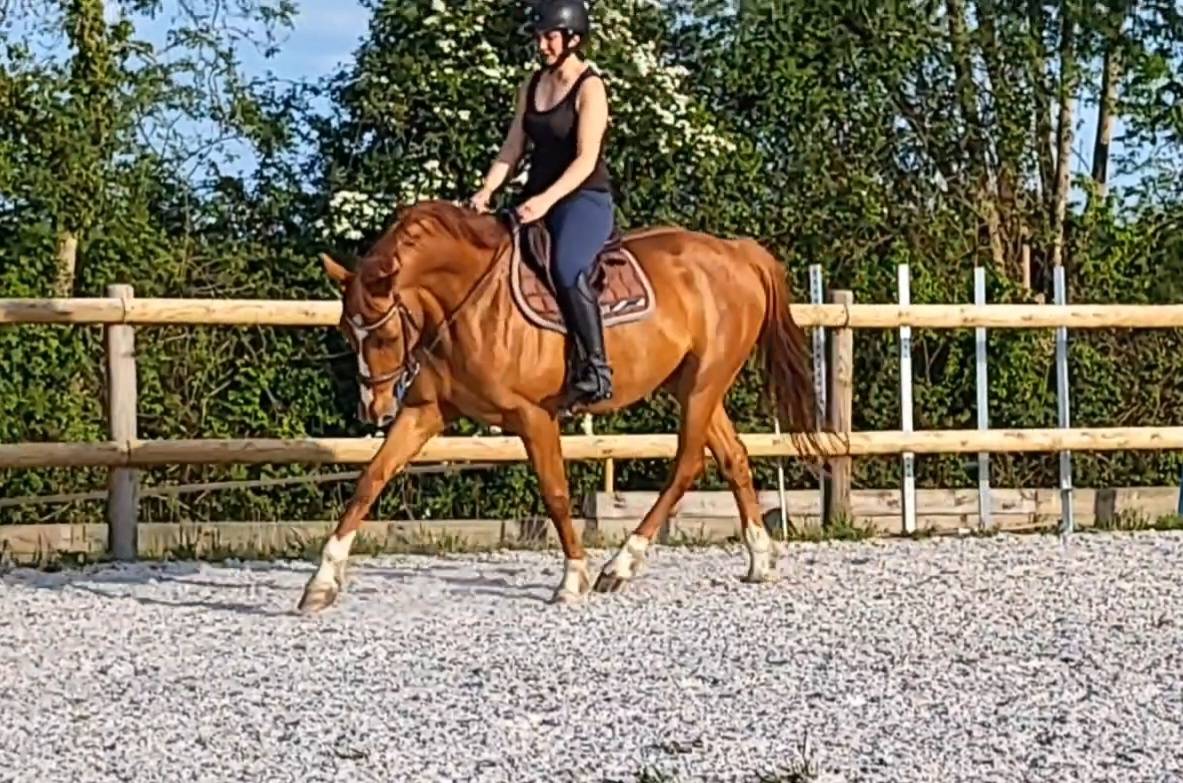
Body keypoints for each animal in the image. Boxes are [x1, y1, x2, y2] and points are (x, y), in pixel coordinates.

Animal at [298, 198, 821, 612]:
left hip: (702, 385)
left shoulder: (534, 416)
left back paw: (621, 564)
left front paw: (573, 578)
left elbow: (555, 492)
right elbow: (371, 479)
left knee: (687, 464)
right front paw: (321, 582)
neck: (469, 301)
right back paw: (759, 559)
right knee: (732, 457)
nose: (374, 409)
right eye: (346, 331)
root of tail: (737, 252)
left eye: (385, 334)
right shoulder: (424, 412)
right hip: (693, 387)